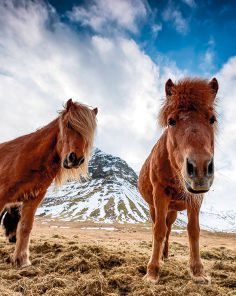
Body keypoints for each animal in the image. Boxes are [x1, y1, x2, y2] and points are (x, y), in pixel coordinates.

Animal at [0, 99, 97, 266]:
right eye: (69, 124)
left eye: (88, 134)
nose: (76, 159)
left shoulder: (34, 197)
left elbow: (26, 227)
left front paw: (21, 260)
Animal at [138, 77, 219, 284]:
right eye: (171, 121)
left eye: (212, 119)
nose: (199, 168)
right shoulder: (160, 195)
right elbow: (158, 230)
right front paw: (152, 271)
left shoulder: (196, 198)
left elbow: (193, 230)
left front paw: (198, 271)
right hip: (154, 208)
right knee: (160, 228)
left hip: (173, 211)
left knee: (168, 229)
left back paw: (165, 255)